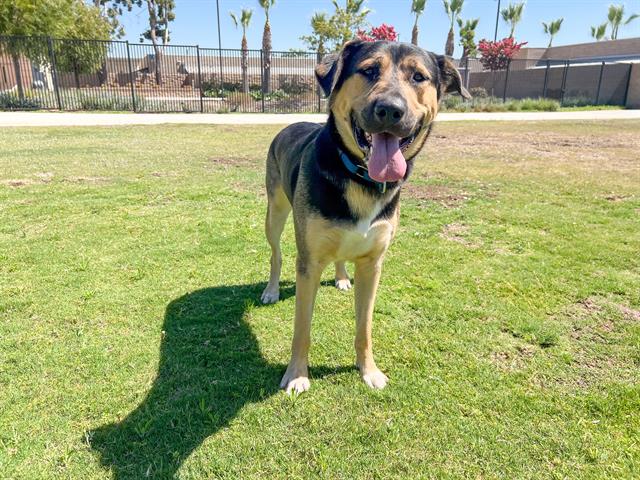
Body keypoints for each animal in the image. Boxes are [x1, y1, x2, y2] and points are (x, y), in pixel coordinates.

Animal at [260, 40, 470, 394]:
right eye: (369, 70)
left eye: (419, 77)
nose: (390, 110)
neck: (360, 179)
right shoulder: (309, 263)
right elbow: (302, 329)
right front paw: (297, 374)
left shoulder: (373, 263)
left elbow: (365, 327)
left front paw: (368, 370)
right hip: (275, 212)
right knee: (276, 254)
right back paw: (272, 290)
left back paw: (342, 277)